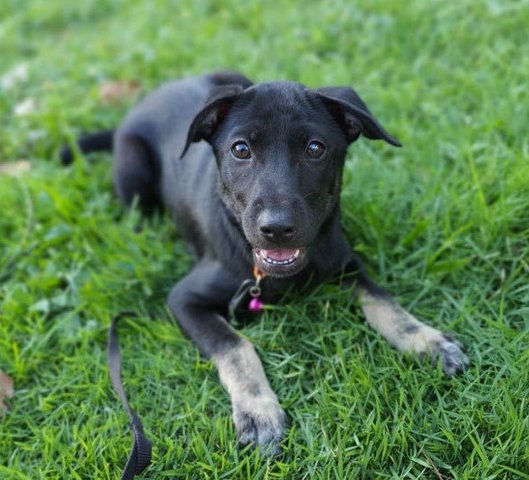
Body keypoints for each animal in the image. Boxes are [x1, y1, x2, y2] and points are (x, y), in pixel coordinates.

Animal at [60, 70, 466, 454]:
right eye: (241, 149)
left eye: (315, 148)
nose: (277, 228)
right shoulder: (184, 300)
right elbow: (236, 345)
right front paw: (258, 412)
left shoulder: (345, 263)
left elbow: (384, 302)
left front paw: (428, 342)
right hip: (132, 173)